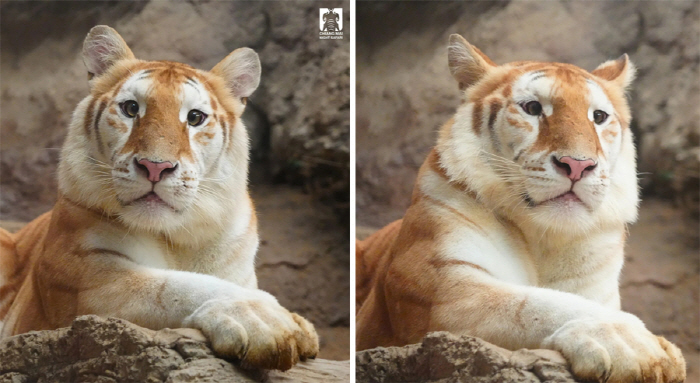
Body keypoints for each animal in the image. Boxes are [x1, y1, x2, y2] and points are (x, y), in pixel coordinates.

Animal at [0, 24, 318, 372]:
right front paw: (266, 321)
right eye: (131, 109)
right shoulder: (84, 277)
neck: (178, 237)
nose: (155, 167)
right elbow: (174, 286)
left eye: (195, 117)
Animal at [358, 33, 688, 383]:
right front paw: (635, 346)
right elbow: (535, 304)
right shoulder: (441, 287)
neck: (546, 238)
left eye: (598, 117)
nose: (577, 165)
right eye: (532, 108)